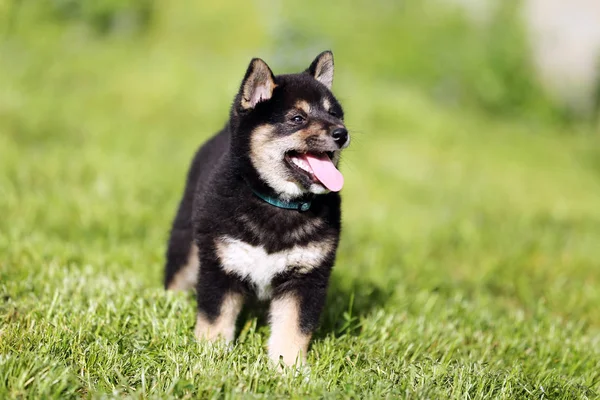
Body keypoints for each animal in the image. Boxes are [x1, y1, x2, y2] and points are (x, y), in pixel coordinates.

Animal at [165, 51, 352, 368]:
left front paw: (288, 369)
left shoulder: (306, 276)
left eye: (335, 115)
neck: (278, 203)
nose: (342, 133)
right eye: (297, 118)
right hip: (187, 242)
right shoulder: (220, 266)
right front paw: (210, 357)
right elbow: (215, 320)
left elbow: (293, 329)